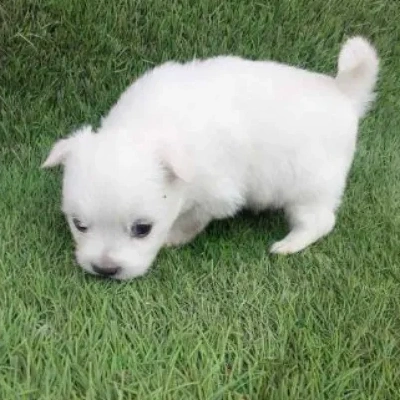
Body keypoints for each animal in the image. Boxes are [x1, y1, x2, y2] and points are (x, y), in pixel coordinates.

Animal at [43, 37, 378, 282]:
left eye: (142, 229)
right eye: (79, 225)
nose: (105, 269)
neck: (151, 126)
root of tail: (343, 93)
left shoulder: (214, 196)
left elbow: (189, 221)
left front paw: (172, 239)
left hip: (308, 189)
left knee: (320, 221)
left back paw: (288, 244)